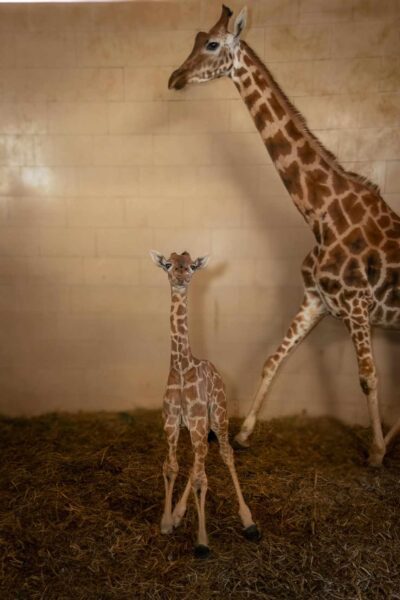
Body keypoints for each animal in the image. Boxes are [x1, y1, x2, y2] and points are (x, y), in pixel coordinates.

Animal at [150, 250, 260, 556]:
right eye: (168, 264)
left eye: (191, 266)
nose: (180, 277)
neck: (181, 367)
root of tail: (218, 374)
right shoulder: (171, 423)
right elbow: (172, 467)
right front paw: (167, 522)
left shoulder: (198, 422)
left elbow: (201, 477)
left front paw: (201, 541)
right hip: (199, 427)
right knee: (200, 460)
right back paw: (178, 513)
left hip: (218, 416)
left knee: (224, 453)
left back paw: (249, 521)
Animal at [168, 4, 400, 466]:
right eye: (196, 39)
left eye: (212, 44)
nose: (175, 78)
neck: (321, 213)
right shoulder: (316, 300)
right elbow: (272, 360)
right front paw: (242, 434)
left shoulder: (357, 304)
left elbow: (368, 377)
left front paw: (375, 453)